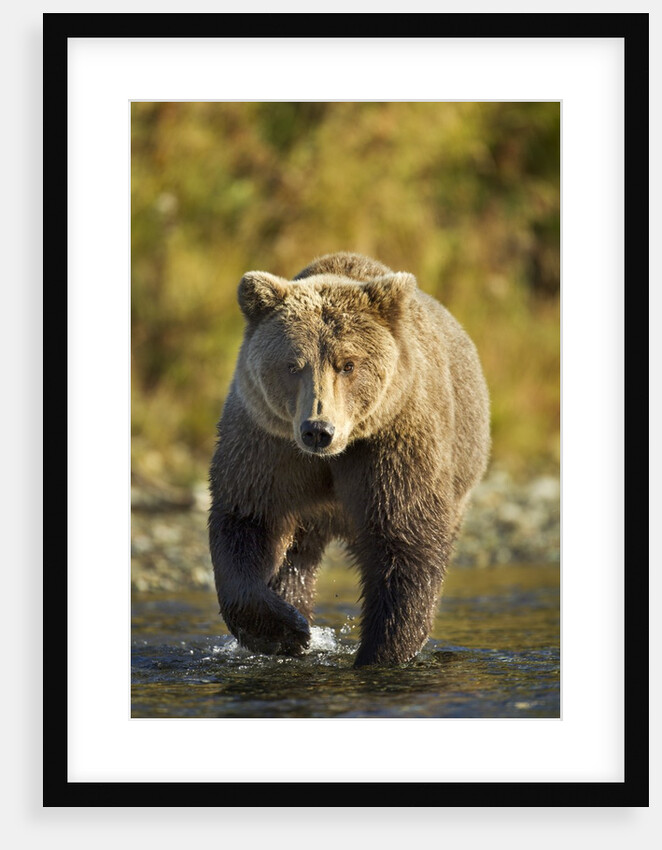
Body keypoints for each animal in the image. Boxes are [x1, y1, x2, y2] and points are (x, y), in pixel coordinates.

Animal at [208, 252, 490, 667]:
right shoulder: (268, 445)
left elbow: (406, 542)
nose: (317, 429)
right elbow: (247, 519)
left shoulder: (392, 447)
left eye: (348, 364)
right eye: (293, 364)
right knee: (297, 559)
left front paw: (380, 652)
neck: (334, 455)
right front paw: (286, 631)